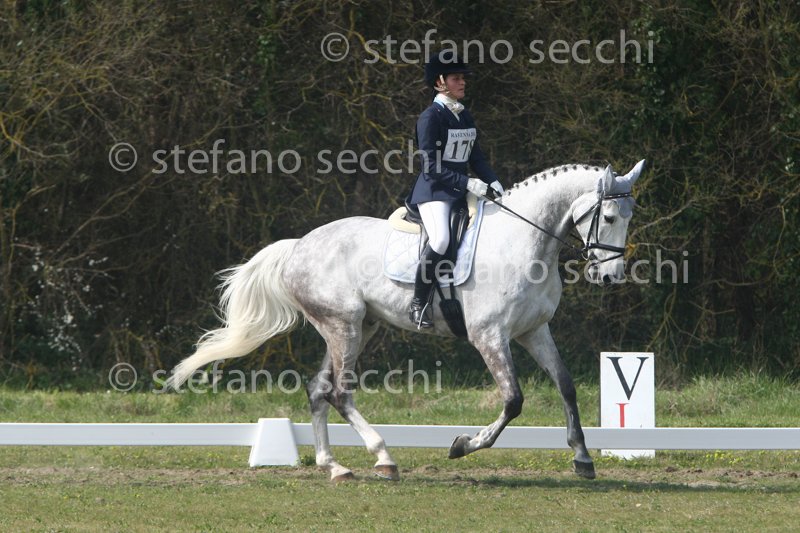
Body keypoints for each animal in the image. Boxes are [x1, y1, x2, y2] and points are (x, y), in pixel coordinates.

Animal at [167, 160, 645, 482]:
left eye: (629, 217)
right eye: (608, 217)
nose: (610, 276)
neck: (524, 241)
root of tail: (299, 244)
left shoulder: (533, 331)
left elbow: (566, 386)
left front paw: (583, 458)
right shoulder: (490, 336)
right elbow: (513, 401)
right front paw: (462, 445)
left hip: (356, 328)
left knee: (319, 389)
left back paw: (334, 465)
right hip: (344, 325)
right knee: (339, 392)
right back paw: (383, 458)